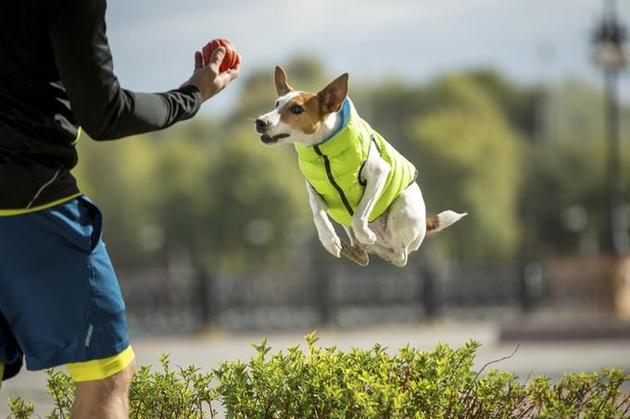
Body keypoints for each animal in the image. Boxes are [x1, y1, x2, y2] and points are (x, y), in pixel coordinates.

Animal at [254, 67, 466, 268]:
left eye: (297, 109)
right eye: (276, 104)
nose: (260, 122)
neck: (322, 150)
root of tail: (424, 224)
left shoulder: (379, 173)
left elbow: (359, 214)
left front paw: (365, 233)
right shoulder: (314, 190)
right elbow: (318, 215)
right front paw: (329, 240)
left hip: (403, 207)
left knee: (400, 256)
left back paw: (376, 244)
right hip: (344, 220)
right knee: (363, 256)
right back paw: (349, 245)